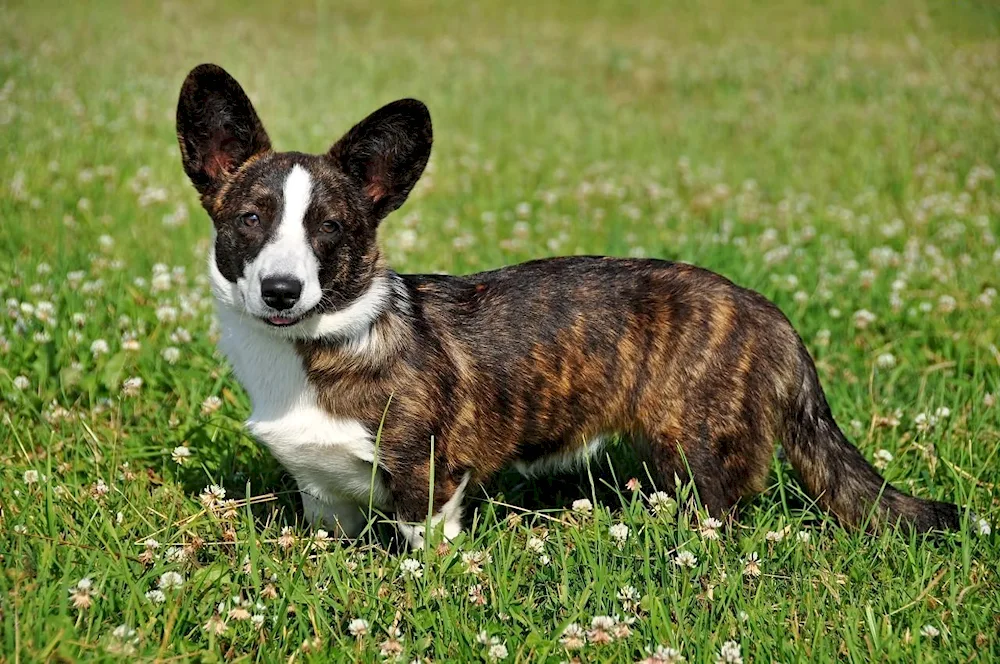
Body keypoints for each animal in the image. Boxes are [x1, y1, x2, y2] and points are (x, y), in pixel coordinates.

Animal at [178, 65, 960, 548]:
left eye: (330, 229)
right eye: (251, 219)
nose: (282, 290)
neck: (316, 346)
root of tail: (770, 315)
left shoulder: (429, 484)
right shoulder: (323, 500)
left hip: (700, 462)